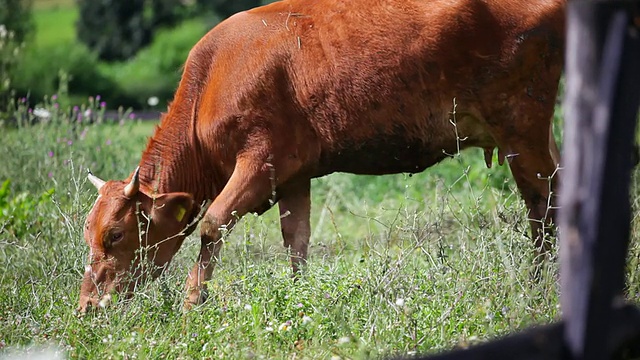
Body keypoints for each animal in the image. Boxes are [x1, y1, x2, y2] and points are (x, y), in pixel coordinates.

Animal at [77, 0, 564, 312]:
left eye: (115, 235)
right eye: (89, 233)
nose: (87, 306)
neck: (212, 78)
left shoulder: (259, 160)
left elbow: (213, 223)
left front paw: (192, 303)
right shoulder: (291, 173)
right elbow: (296, 240)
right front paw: (298, 297)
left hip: (522, 125)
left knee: (543, 204)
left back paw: (540, 287)